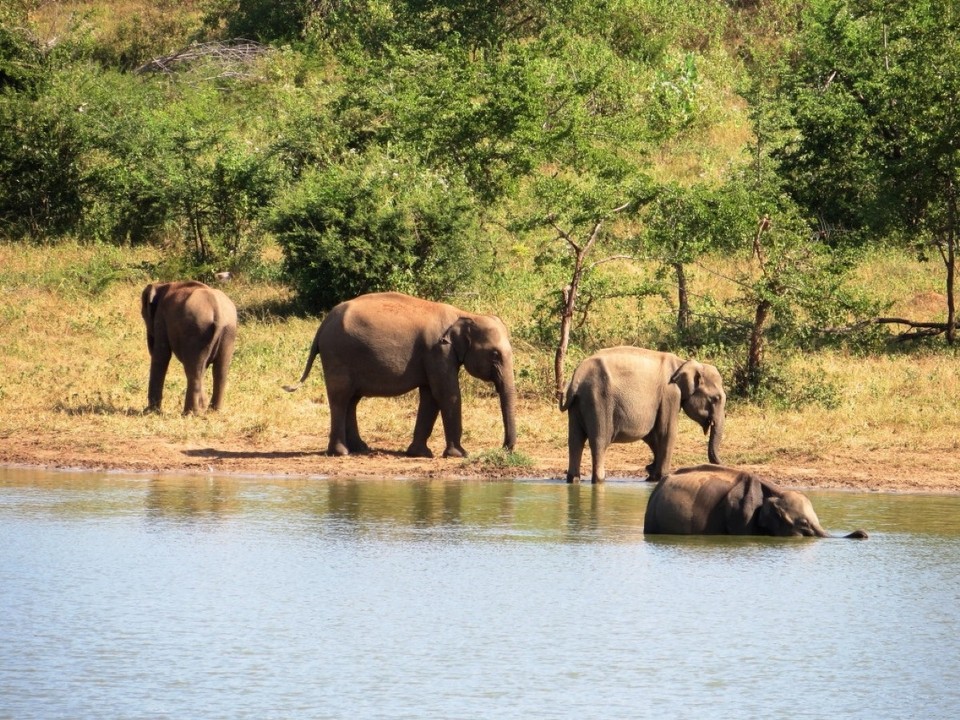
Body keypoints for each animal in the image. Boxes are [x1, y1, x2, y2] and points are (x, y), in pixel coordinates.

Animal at [142, 282, 240, 416]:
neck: (162, 285)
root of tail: (217, 311)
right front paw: (203, 406)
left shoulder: (161, 317)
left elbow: (162, 355)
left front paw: (150, 411)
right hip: (228, 331)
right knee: (218, 370)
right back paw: (212, 411)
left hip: (197, 329)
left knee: (193, 369)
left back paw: (189, 414)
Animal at [284, 292, 516, 456]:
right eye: (495, 355)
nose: (504, 448)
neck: (464, 314)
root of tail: (323, 325)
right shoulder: (438, 351)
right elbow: (447, 395)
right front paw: (459, 454)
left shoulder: (435, 356)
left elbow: (430, 397)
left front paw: (420, 454)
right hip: (337, 354)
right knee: (341, 398)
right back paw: (341, 453)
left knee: (352, 400)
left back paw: (361, 448)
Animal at [560, 344, 724, 484]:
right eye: (716, 398)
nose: (722, 463)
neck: (683, 363)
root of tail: (576, 378)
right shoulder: (670, 394)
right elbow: (667, 431)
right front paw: (661, 476)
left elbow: (651, 435)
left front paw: (652, 475)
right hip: (598, 399)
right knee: (599, 441)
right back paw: (599, 480)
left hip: (577, 404)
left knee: (575, 440)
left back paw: (573, 480)